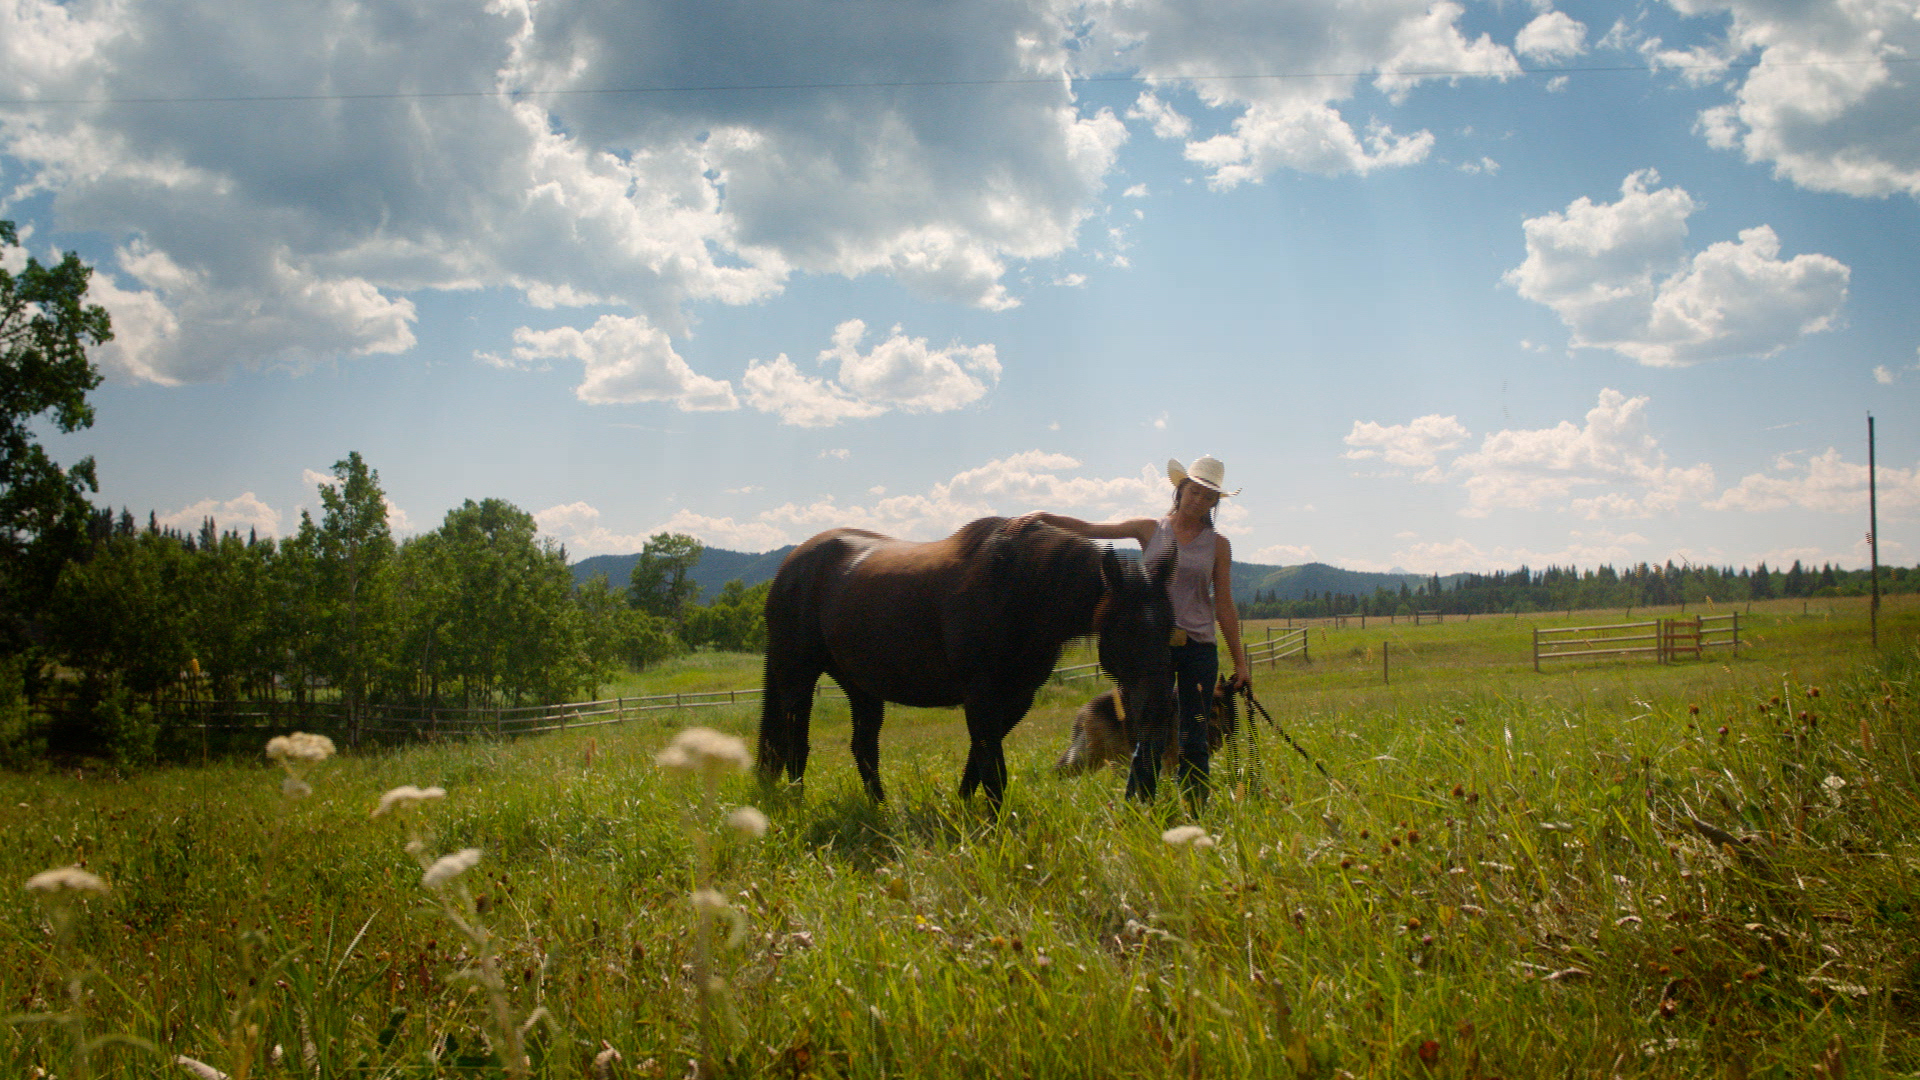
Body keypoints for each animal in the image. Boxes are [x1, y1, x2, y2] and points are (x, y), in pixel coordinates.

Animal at [756, 518, 1175, 803]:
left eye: (1170, 628)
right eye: (1128, 631)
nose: (1160, 712)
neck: (1017, 586)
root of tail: (790, 568)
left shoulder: (1016, 698)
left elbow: (979, 761)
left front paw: (961, 809)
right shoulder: (980, 695)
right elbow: (992, 768)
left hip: (861, 687)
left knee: (864, 748)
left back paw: (880, 810)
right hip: (797, 679)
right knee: (796, 746)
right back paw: (798, 806)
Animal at [1052, 672, 1244, 772]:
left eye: (1231, 706)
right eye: (1215, 710)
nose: (1229, 731)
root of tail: (1084, 711)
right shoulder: (1171, 758)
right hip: (1099, 756)